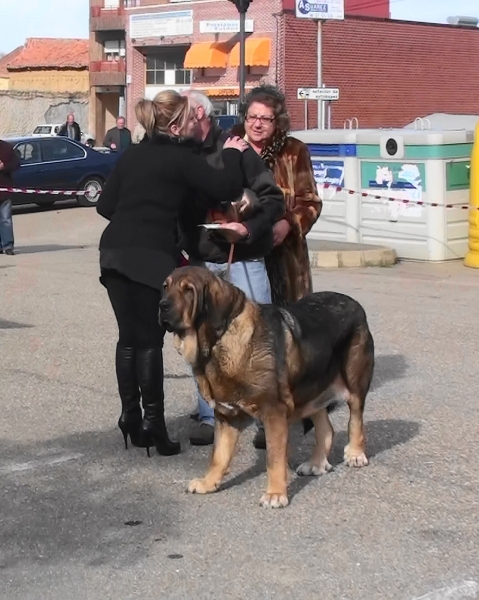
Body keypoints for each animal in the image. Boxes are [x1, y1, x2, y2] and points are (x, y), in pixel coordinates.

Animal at [161, 268, 376, 506]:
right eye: (165, 287)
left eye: (189, 290)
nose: (162, 305)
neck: (219, 342)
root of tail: (356, 304)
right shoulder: (226, 416)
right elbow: (219, 456)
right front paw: (208, 483)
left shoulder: (274, 413)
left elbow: (274, 458)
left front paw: (275, 494)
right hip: (310, 389)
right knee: (325, 428)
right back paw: (316, 464)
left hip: (354, 384)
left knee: (355, 420)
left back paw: (355, 454)